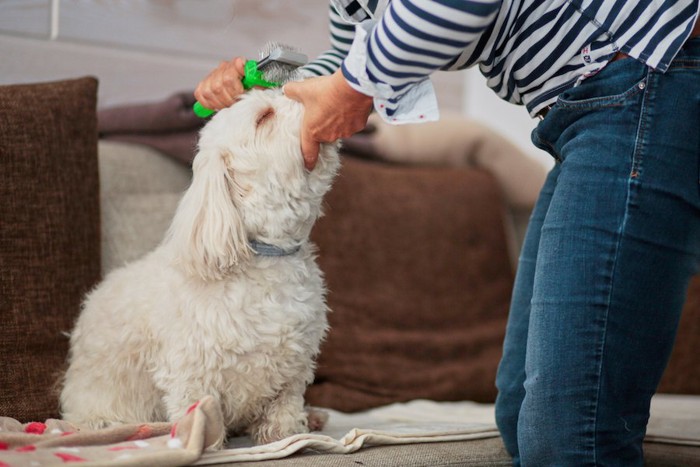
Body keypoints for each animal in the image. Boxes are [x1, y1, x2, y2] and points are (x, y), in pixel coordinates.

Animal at [59, 88, 342, 446]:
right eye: (264, 117)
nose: (315, 97)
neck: (267, 256)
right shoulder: (190, 369)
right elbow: (197, 409)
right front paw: (203, 443)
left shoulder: (293, 366)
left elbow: (284, 407)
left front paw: (286, 436)